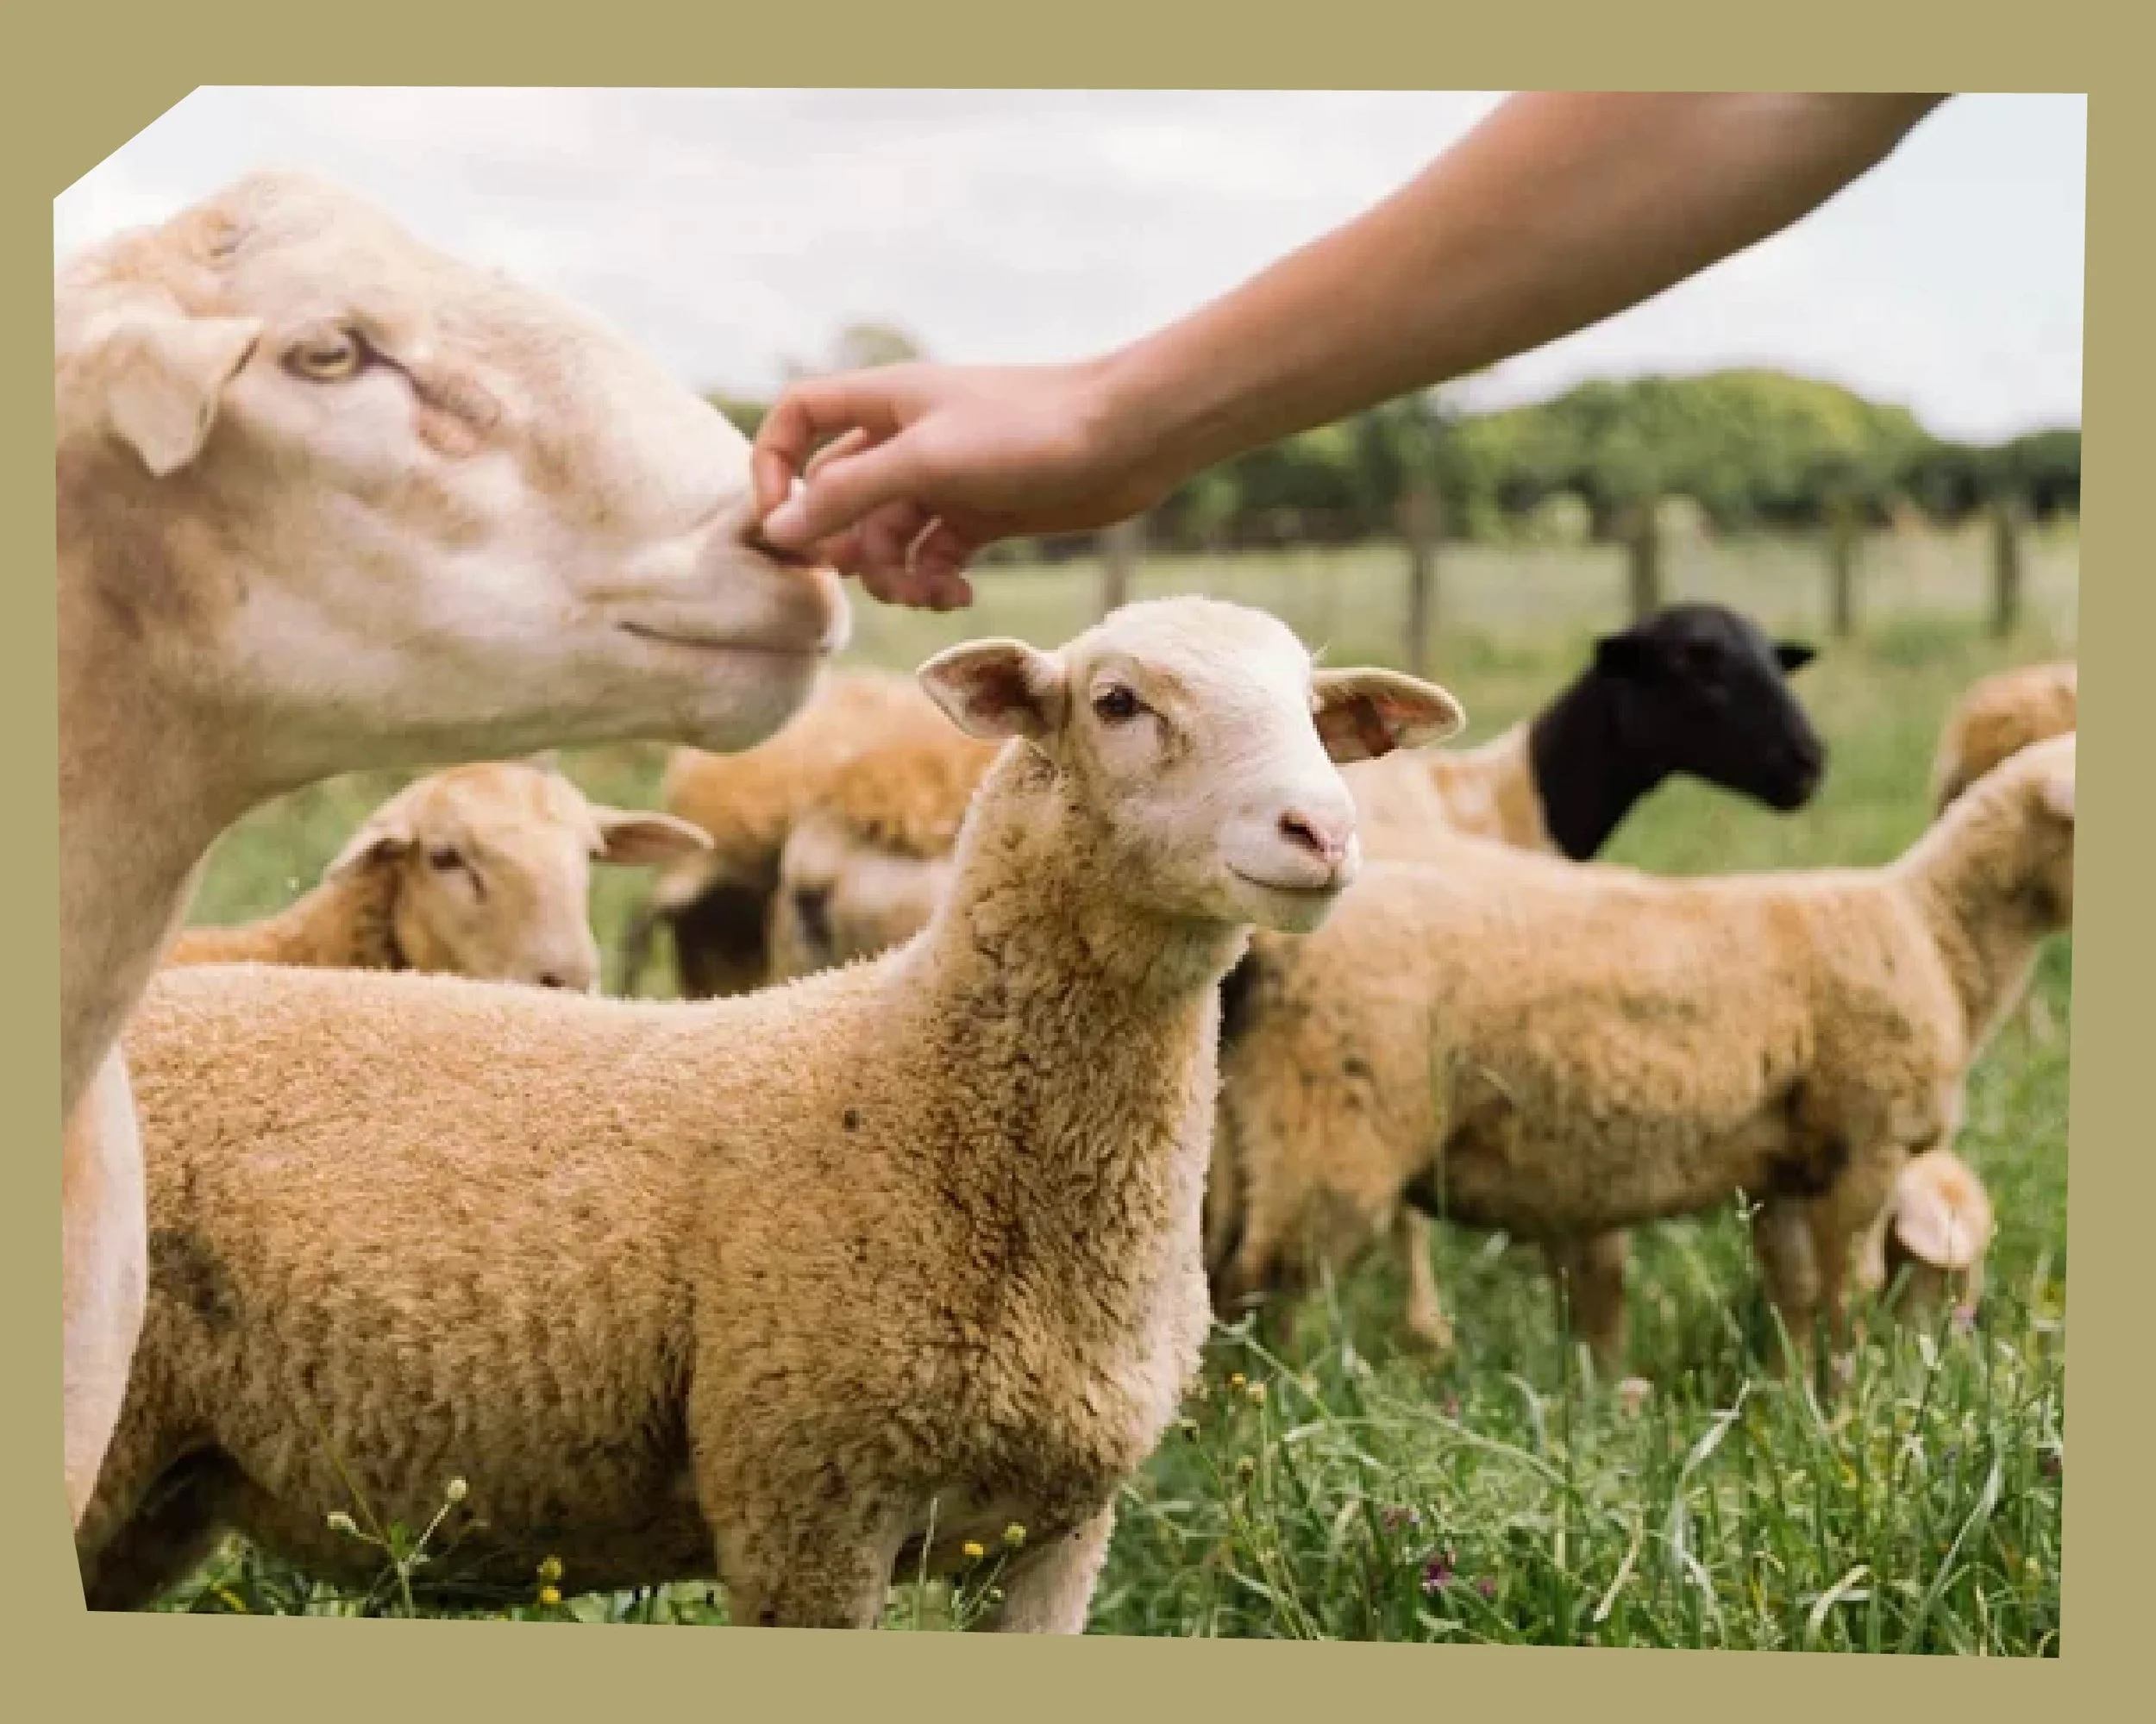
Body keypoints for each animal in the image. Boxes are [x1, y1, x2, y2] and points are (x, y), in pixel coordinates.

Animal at [1209, 733, 2075, 1377]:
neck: (1936, 930)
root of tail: (1267, 954)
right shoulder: (1865, 1148)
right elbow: (1847, 1298)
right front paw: (1853, 1409)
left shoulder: (1786, 1171)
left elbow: (1793, 1296)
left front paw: (1796, 1404)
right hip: (1332, 1128)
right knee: (1262, 1286)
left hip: (1246, 1129)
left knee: (1215, 1282)